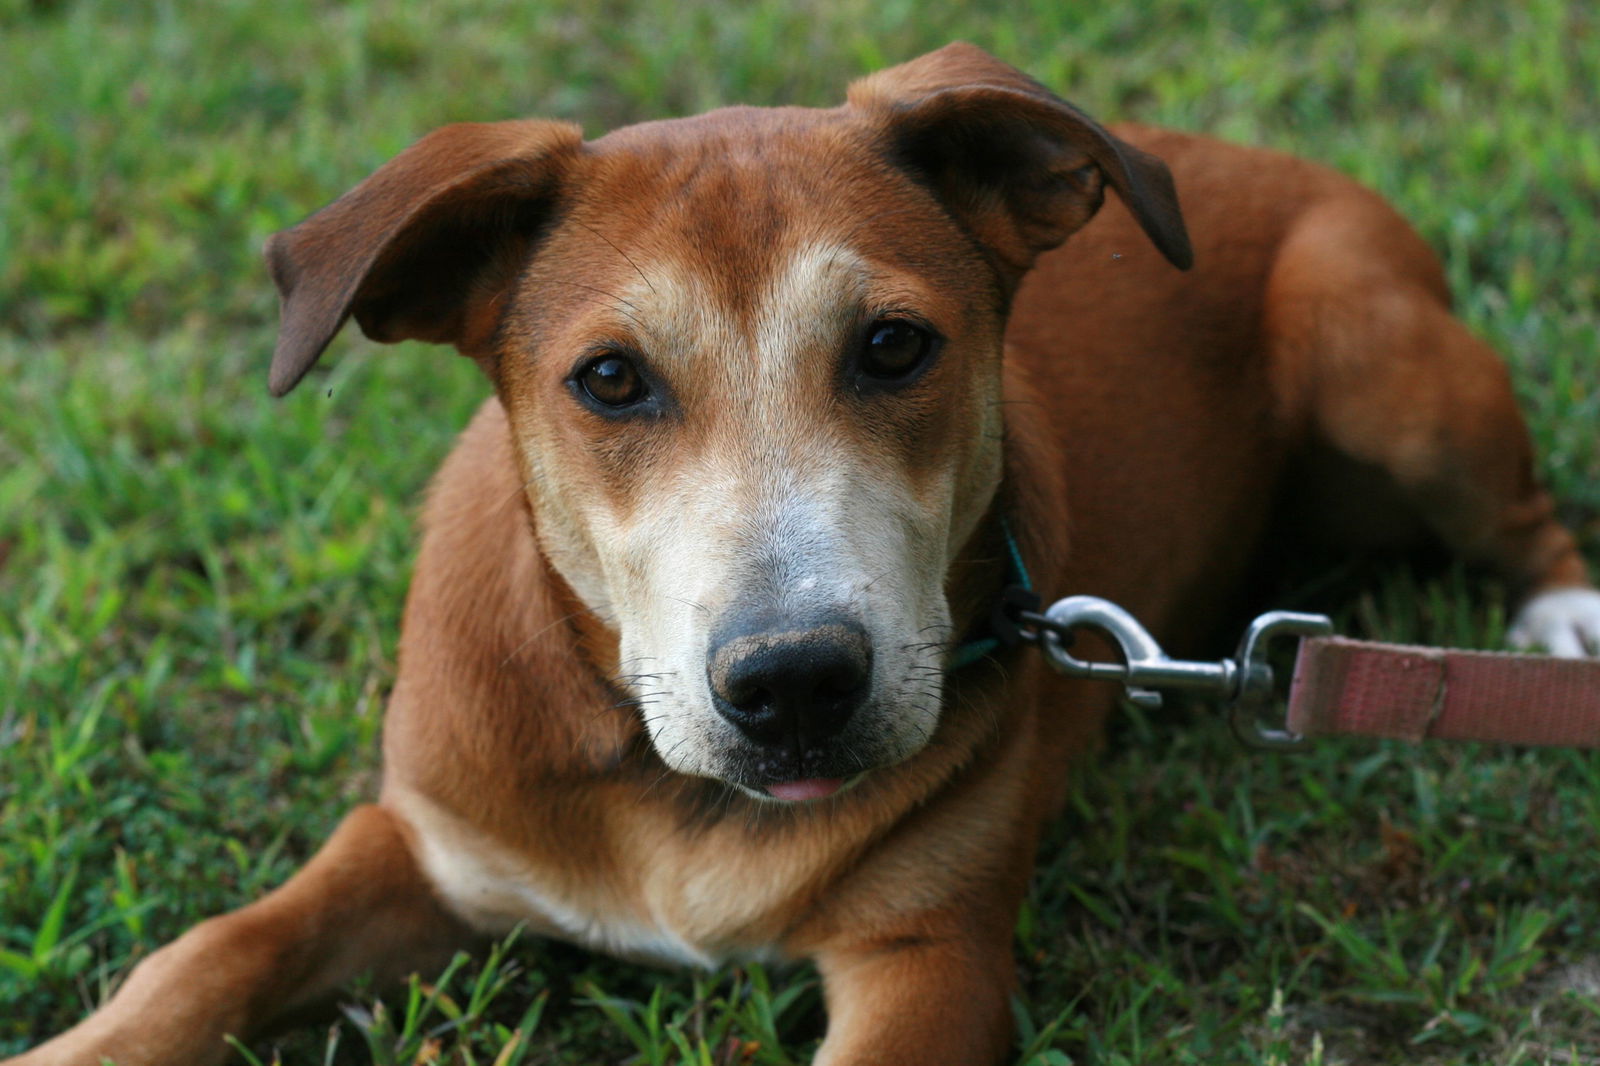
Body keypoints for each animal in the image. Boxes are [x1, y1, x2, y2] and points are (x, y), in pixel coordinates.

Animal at [12, 43, 1600, 1062]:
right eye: (609, 380)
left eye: (893, 346)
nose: (792, 685)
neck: (660, 778)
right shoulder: (424, 839)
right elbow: (211, 949)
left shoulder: (929, 959)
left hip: (1380, 356)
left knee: (1525, 516)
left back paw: (1564, 623)